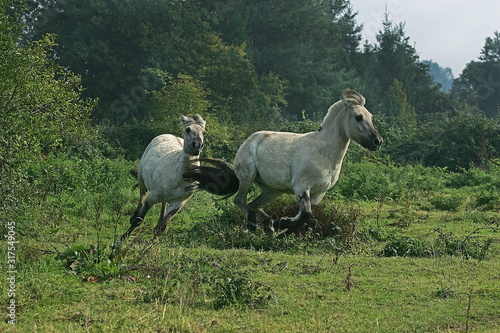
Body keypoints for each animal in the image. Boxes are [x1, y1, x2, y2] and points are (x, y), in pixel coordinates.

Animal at [184, 89, 382, 233]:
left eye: (371, 117)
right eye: (358, 117)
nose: (377, 141)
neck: (324, 152)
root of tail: (248, 141)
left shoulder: (319, 193)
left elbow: (305, 217)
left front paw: (282, 228)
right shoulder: (301, 186)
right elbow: (305, 214)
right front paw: (282, 224)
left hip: (273, 190)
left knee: (254, 204)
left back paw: (268, 226)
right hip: (248, 177)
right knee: (240, 201)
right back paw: (254, 224)